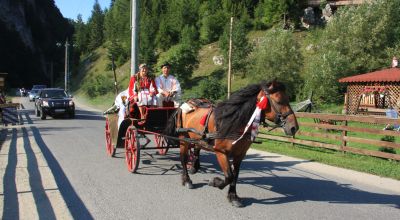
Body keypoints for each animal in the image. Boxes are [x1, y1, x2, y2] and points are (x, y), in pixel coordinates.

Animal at [162, 80, 296, 207]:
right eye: (279, 101)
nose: (294, 127)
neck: (233, 121)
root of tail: (185, 104)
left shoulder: (239, 155)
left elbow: (235, 176)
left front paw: (233, 196)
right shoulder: (221, 152)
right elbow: (229, 176)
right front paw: (215, 182)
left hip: (197, 137)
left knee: (196, 148)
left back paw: (194, 167)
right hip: (183, 138)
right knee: (183, 158)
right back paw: (187, 180)